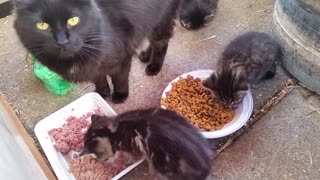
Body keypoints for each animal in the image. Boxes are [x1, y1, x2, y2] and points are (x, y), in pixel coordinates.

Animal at [12, 0, 181, 103]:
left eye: (73, 20)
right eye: (42, 25)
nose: (62, 41)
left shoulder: (121, 60)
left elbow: (119, 80)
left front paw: (119, 96)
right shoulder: (93, 67)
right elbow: (99, 79)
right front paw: (102, 94)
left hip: (161, 19)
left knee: (161, 43)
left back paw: (153, 66)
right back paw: (145, 56)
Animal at [82, 108, 212, 180]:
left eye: (103, 159)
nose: (107, 163)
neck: (116, 131)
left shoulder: (131, 147)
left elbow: (132, 157)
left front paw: (127, 163)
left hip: (162, 164)